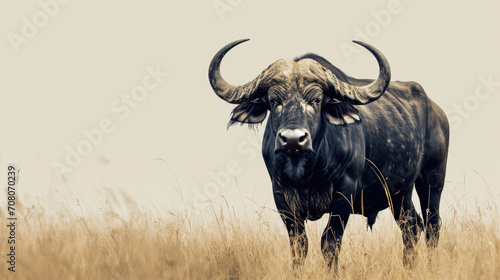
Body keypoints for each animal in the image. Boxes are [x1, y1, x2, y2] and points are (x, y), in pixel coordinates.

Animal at [207, 38, 450, 270]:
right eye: (274, 101)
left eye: (316, 100)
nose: (293, 139)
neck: (307, 172)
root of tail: (437, 112)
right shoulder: (282, 197)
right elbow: (299, 246)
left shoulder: (344, 195)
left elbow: (330, 244)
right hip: (399, 194)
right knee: (411, 227)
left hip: (432, 180)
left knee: (432, 226)